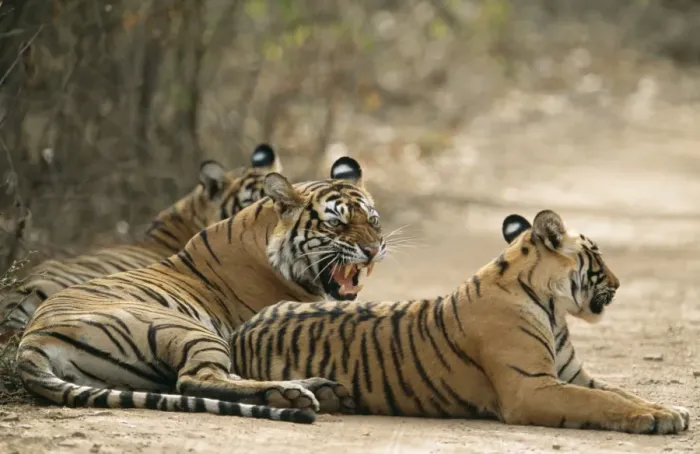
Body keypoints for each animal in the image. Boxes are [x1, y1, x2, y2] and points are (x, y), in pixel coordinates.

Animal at [15, 156, 386, 424]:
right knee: (196, 378)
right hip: (185, 328)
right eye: (335, 223)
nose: (373, 250)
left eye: (373, 220)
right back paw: (291, 394)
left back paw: (319, 388)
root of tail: (32, 340)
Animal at [229, 209, 691, 434]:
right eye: (596, 257)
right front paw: (656, 419)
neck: (554, 309)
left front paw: (668, 410)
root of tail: (242, 329)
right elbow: (602, 402)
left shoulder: (572, 375)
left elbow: (622, 394)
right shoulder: (532, 387)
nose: (619, 282)